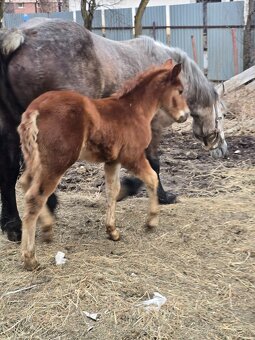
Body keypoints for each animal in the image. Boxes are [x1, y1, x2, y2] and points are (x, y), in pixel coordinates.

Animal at [0, 17, 227, 242]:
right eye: (222, 116)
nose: (223, 149)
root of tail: (21, 36)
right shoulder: (153, 129)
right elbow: (154, 164)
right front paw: (156, 195)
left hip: (13, 128)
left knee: (10, 172)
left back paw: (14, 225)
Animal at [18, 59, 189, 270]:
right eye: (180, 90)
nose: (185, 115)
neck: (134, 109)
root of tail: (35, 109)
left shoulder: (112, 161)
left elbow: (112, 191)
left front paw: (112, 231)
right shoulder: (132, 156)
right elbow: (151, 178)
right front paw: (151, 221)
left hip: (36, 160)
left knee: (25, 183)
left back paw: (47, 228)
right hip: (56, 163)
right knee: (35, 197)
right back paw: (30, 258)